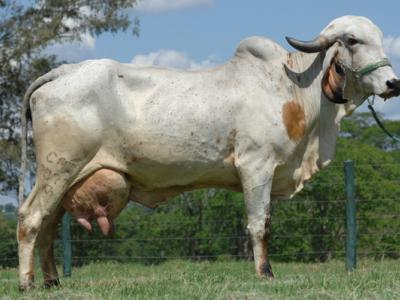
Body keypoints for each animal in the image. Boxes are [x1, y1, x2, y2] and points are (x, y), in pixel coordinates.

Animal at [18, 15, 400, 290]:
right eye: (353, 41)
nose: (392, 83)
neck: (292, 87)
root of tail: (62, 72)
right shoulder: (256, 166)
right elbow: (259, 225)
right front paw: (265, 274)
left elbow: (266, 223)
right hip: (58, 169)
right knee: (30, 219)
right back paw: (27, 283)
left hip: (67, 178)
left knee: (48, 226)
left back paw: (51, 281)